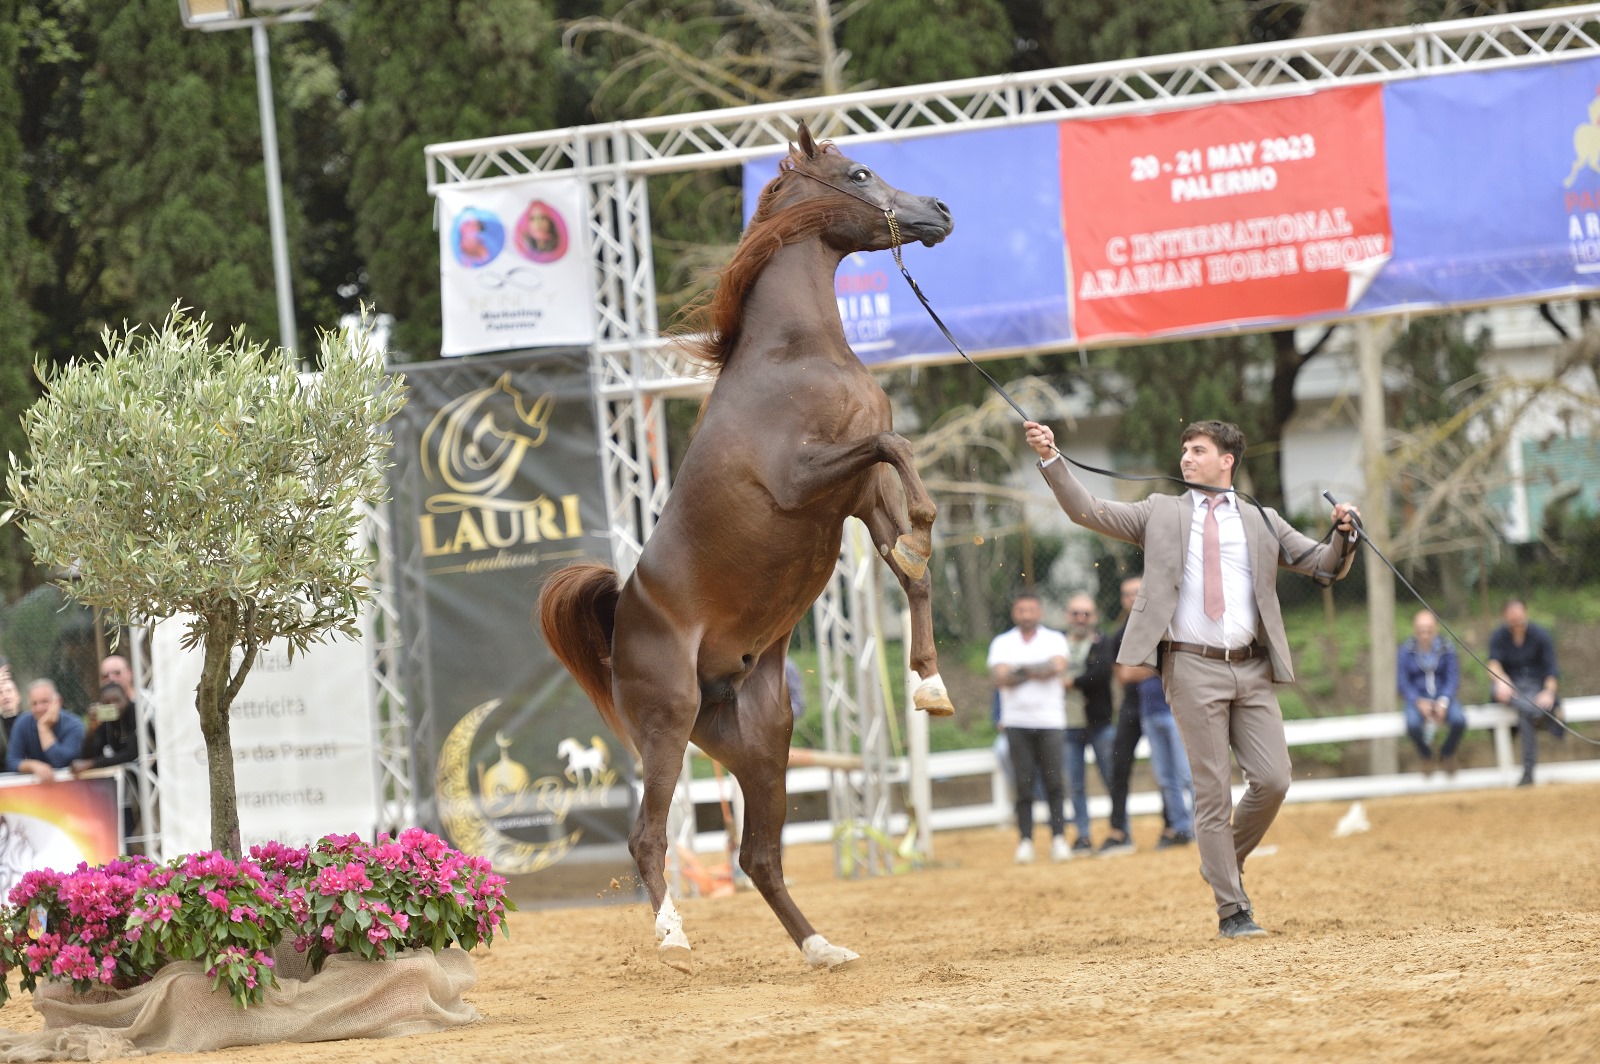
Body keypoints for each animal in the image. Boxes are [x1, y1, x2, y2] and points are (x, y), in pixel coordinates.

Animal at [544, 122, 953, 972]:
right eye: (858, 172)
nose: (939, 210)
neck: (794, 354)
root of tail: (619, 619)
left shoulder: (855, 498)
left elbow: (913, 550)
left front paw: (930, 682)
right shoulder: (809, 482)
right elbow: (897, 447)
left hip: (763, 741)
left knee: (758, 855)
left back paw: (822, 947)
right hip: (667, 727)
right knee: (648, 837)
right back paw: (673, 935)